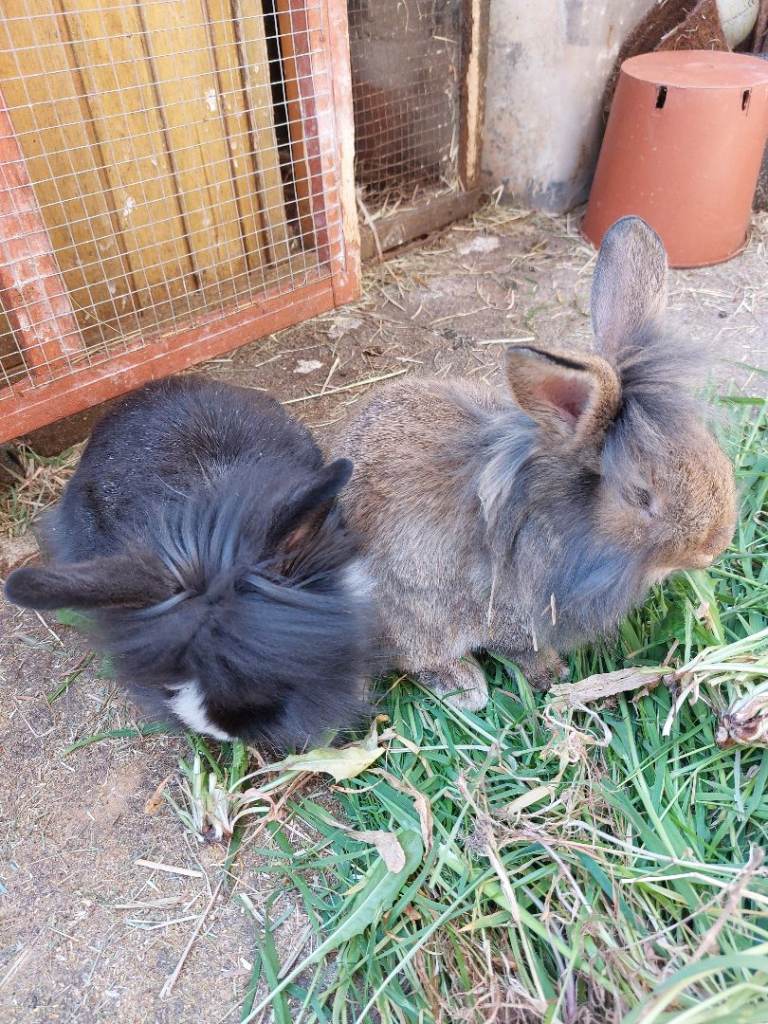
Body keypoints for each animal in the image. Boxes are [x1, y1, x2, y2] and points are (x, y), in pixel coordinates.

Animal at [333, 216, 737, 710]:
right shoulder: (508, 610)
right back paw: (465, 686)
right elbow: (521, 650)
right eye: (640, 495)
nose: (715, 547)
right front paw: (553, 675)